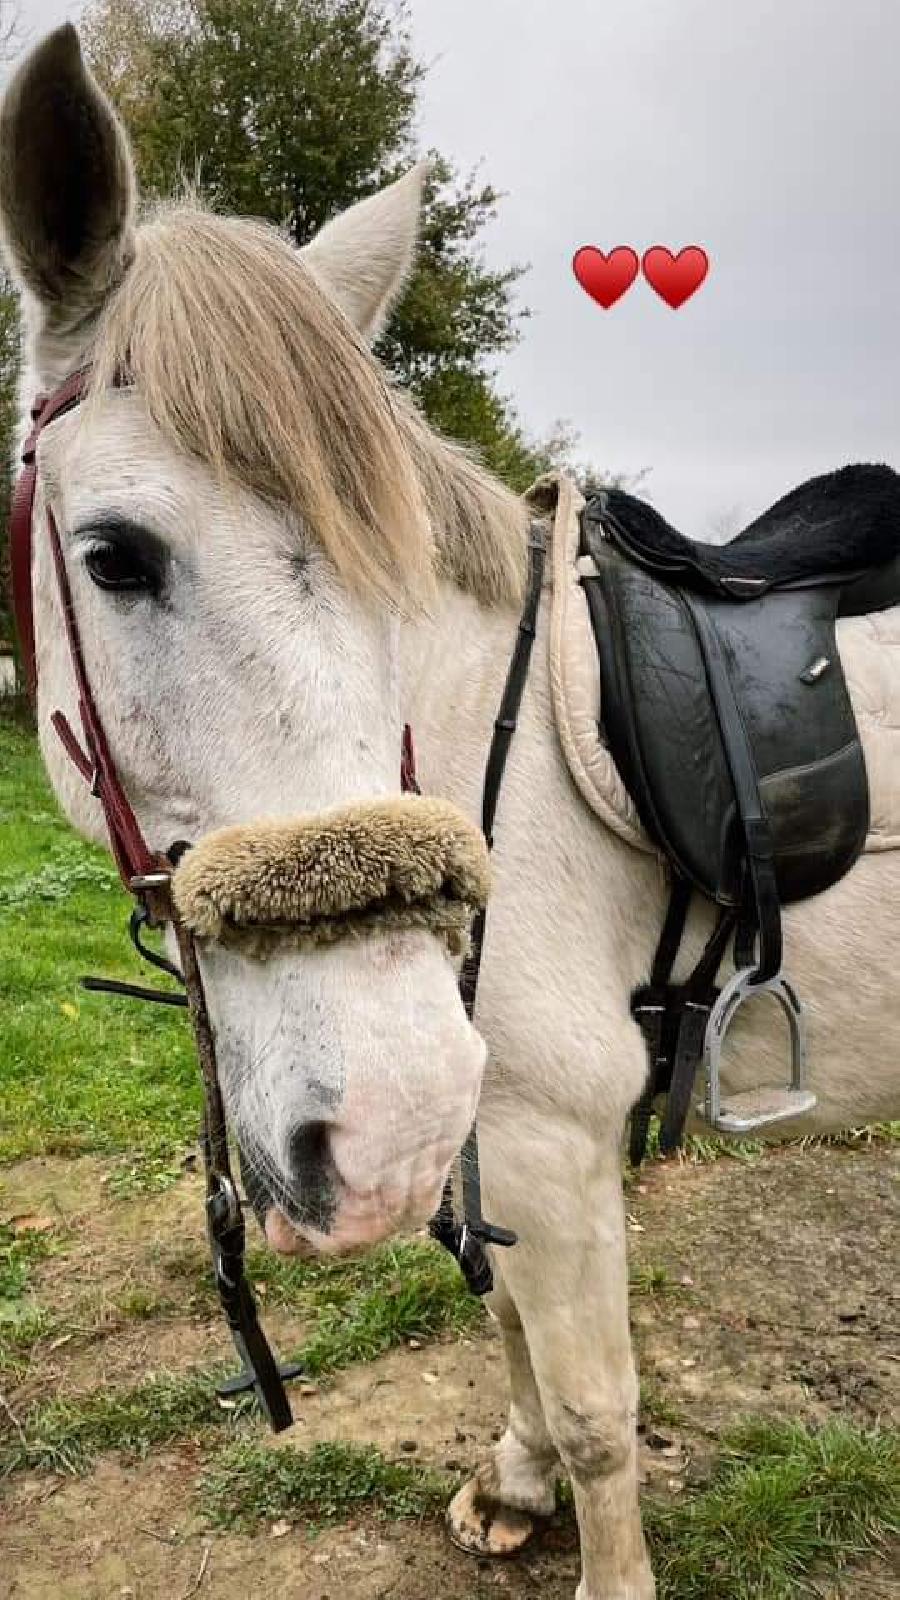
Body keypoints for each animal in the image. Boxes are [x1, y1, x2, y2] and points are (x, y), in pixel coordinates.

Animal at [3, 25, 890, 1600]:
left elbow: (596, 1403)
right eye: (112, 557)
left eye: (393, 568)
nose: (387, 1115)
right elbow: (513, 1336)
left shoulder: (553, 1134)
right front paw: (517, 1487)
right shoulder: (497, 1138)